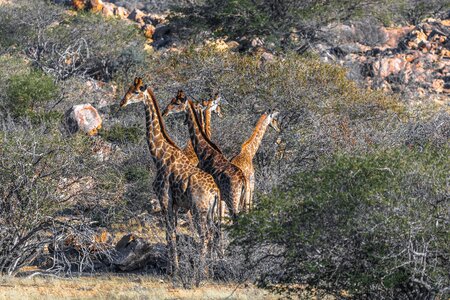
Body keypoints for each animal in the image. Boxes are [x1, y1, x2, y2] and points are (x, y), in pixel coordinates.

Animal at [119, 78, 221, 282]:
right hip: (210, 213)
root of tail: (215, 191)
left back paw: (201, 273)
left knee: (204, 236)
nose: (122, 102)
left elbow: (170, 235)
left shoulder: (164, 198)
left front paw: (173, 271)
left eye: (136, 92)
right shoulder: (174, 204)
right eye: (128, 88)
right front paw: (174, 268)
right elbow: (172, 232)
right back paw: (210, 271)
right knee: (212, 235)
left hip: (199, 210)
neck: (159, 155)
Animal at [165, 90, 248, 219]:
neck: (204, 151)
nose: (165, 111)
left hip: (232, 200)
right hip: (240, 200)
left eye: (177, 102)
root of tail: (243, 181)